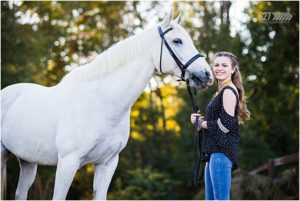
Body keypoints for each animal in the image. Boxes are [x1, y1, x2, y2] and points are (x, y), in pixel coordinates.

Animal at [1, 11, 214, 199]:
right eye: (177, 41)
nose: (207, 75)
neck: (101, 104)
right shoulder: (67, 163)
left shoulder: (107, 163)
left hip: (28, 161)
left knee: (20, 193)